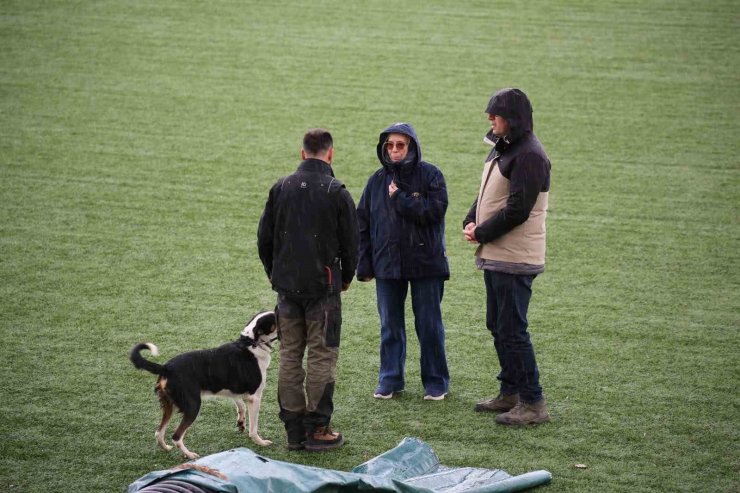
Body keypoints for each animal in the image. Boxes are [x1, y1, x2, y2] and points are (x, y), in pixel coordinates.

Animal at [127, 312, 278, 458]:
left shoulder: (233, 389)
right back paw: (190, 455)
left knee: (159, 432)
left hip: (169, 405)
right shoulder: (255, 397)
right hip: (192, 406)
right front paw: (260, 442)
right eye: (275, 318)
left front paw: (241, 423)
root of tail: (166, 367)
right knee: (176, 436)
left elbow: (240, 406)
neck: (251, 343)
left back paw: (166, 448)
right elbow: (254, 427)